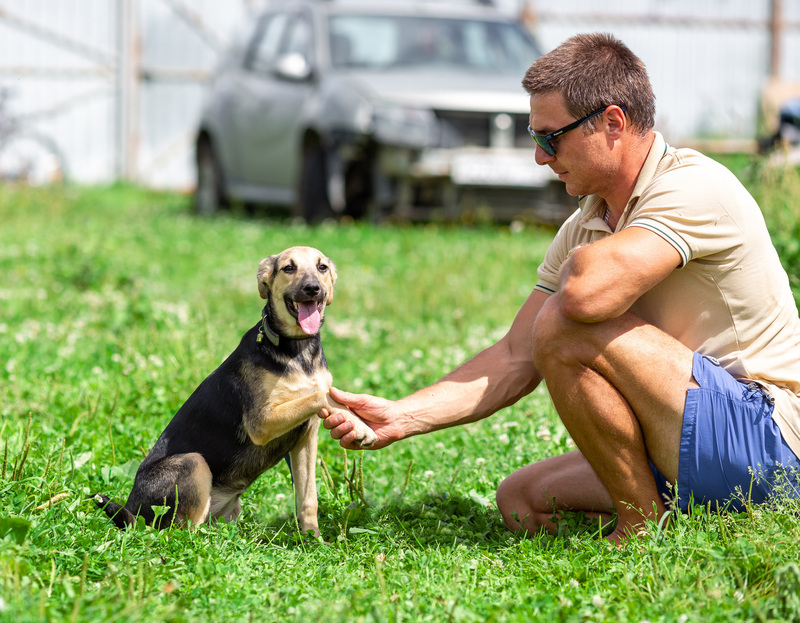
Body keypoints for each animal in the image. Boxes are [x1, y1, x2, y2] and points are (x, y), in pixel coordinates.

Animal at [92, 246, 380, 532]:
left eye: (322, 267)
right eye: (289, 268)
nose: (312, 288)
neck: (297, 350)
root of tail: (132, 508)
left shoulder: (306, 437)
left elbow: (308, 499)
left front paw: (313, 538)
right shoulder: (260, 422)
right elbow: (322, 394)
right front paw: (361, 424)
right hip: (193, 463)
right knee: (180, 533)